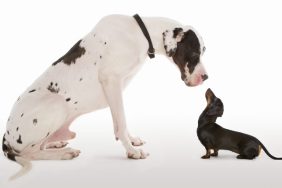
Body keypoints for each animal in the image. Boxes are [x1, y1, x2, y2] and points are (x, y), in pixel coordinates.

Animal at [1, 13, 207, 178]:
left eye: (203, 53)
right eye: (194, 54)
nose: (206, 77)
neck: (138, 34)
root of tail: (6, 135)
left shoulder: (117, 88)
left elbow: (120, 122)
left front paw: (132, 141)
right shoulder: (112, 81)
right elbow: (121, 122)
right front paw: (132, 151)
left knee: (40, 146)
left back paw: (56, 144)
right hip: (56, 104)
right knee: (28, 153)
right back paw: (64, 153)